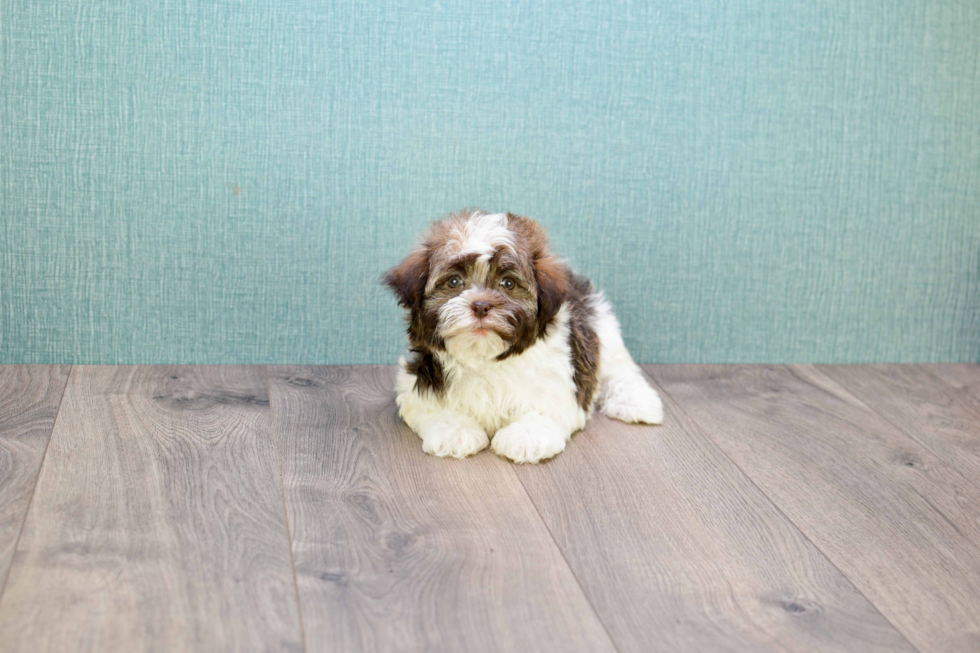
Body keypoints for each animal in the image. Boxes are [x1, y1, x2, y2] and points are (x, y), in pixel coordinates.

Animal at [382, 210, 668, 464]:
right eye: (453, 281)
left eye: (508, 283)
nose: (481, 305)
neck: (484, 358)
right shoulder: (419, 381)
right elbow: (432, 408)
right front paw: (455, 431)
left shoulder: (557, 384)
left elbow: (543, 409)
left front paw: (525, 438)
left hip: (603, 328)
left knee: (620, 371)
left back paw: (636, 403)